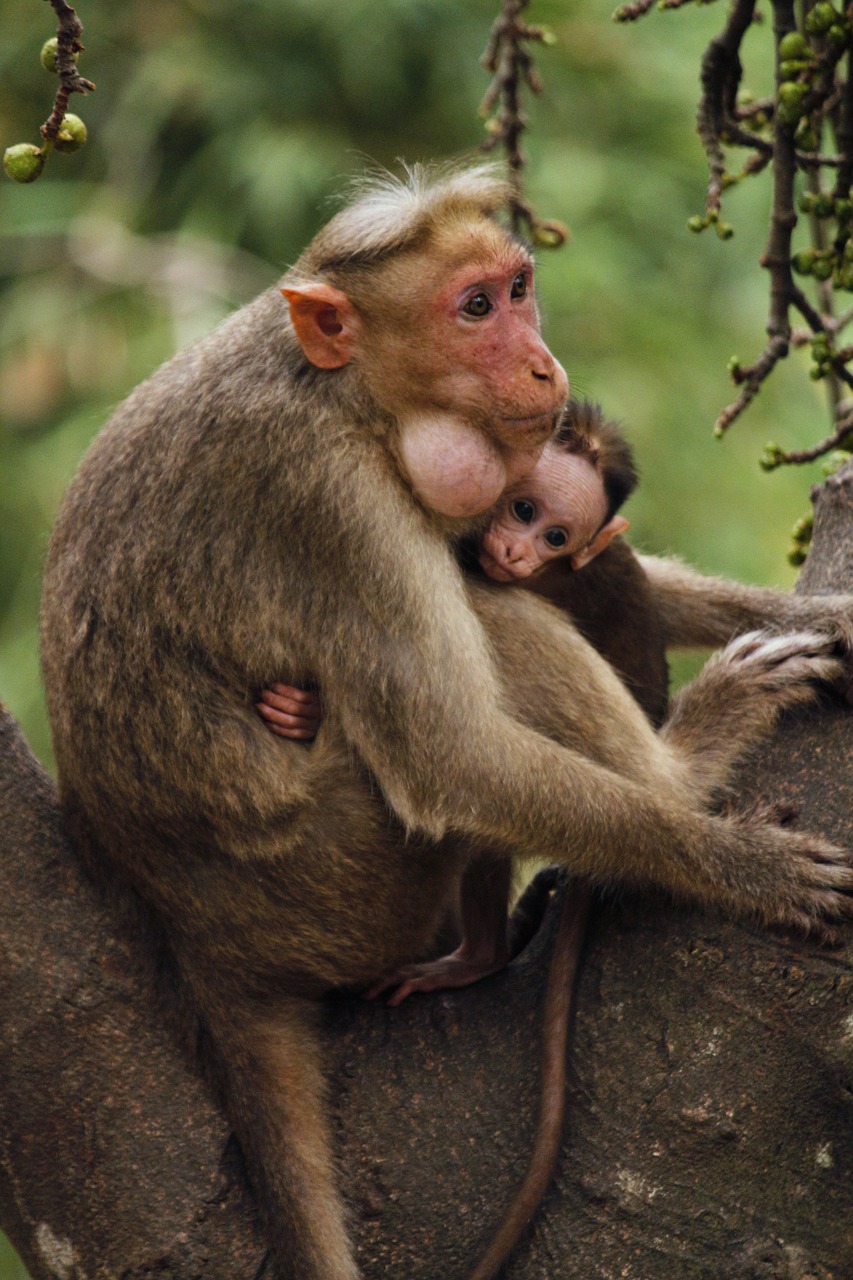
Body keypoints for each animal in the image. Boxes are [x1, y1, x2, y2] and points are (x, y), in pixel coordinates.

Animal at [43, 170, 850, 1280]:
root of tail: (205, 943)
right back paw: (682, 771)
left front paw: (825, 614)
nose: (541, 361)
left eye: (516, 288)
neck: (345, 395)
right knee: (489, 625)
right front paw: (736, 862)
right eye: (472, 309)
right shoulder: (330, 504)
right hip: (347, 880)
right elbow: (446, 755)